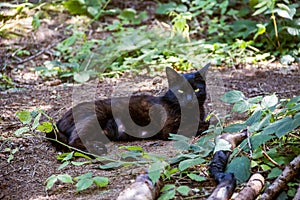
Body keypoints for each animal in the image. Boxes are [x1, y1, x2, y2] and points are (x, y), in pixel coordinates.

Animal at [48, 64, 210, 155]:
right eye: (181, 91)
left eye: (196, 90)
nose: (189, 99)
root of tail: (58, 121)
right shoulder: (169, 128)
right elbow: (198, 125)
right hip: (96, 115)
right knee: (72, 141)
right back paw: (97, 150)